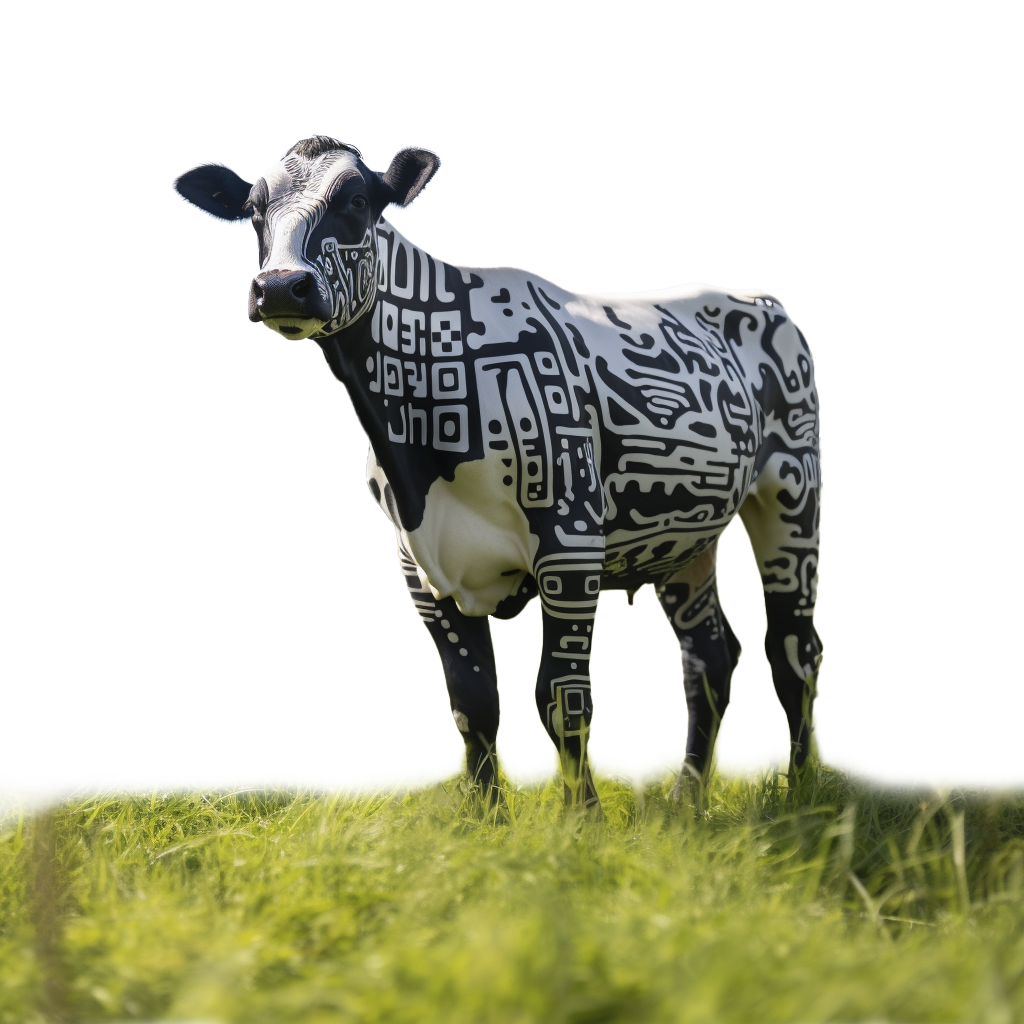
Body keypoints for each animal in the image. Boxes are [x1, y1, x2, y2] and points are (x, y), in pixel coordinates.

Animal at [174, 136, 823, 813]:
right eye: (253, 210)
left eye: (356, 200)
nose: (280, 287)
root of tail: (758, 300)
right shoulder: (420, 566)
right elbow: (472, 704)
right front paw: (486, 819)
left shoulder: (570, 541)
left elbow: (562, 699)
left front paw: (581, 819)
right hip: (682, 536)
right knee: (709, 661)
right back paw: (686, 797)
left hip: (791, 488)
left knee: (794, 651)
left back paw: (803, 787)